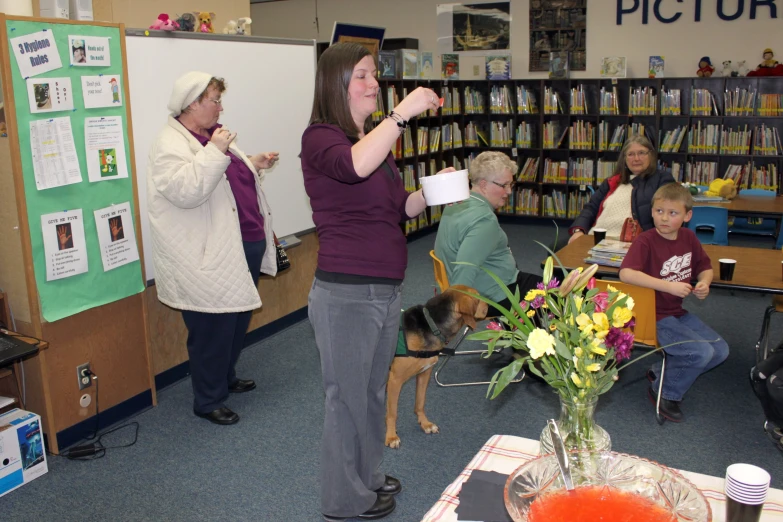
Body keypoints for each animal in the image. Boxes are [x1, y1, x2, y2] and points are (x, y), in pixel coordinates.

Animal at [384, 284, 486, 446]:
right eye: (479, 297)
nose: (491, 304)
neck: (431, 326)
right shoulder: (395, 380)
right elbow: (392, 413)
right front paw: (391, 436)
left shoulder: (424, 373)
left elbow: (420, 404)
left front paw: (425, 424)